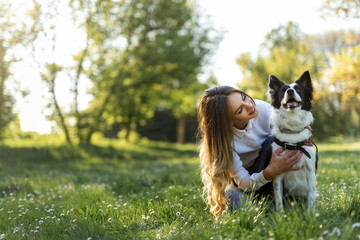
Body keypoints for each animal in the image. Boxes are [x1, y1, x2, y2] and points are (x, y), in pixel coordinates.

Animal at [268, 70, 316, 211]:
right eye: (283, 91)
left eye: (298, 89)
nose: (290, 91)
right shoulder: (277, 173)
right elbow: (278, 200)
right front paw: (281, 215)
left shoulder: (311, 172)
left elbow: (311, 198)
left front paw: (310, 215)